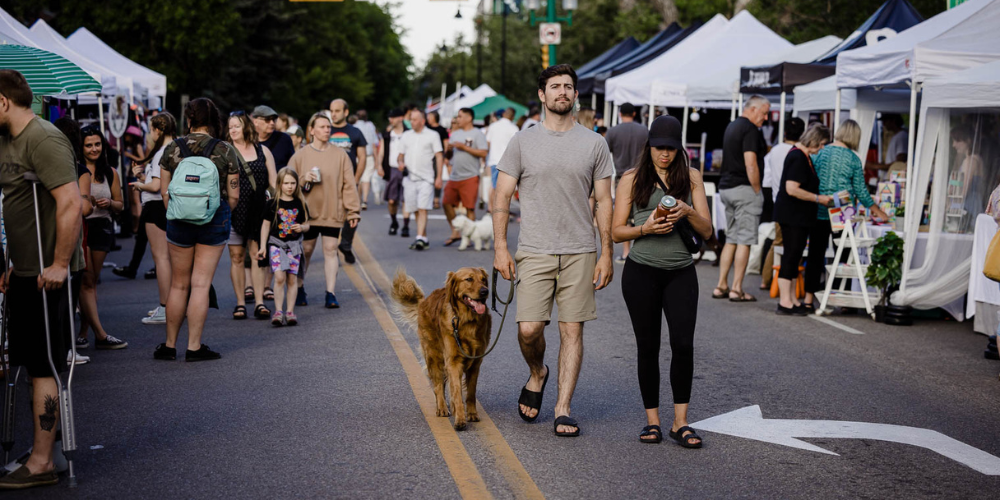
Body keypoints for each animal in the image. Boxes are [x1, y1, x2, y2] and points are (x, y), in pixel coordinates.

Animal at [390, 266, 492, 430]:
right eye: (469, 279)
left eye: (483, 279)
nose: (485, 291)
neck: (467, 321)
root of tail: (424, 301)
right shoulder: (453, 361)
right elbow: (456, 392)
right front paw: (460, 419)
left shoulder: (475, 363)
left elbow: (470, 392)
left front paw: (471, 414)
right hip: (434, 357)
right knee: (438, 386)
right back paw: (442, 408)